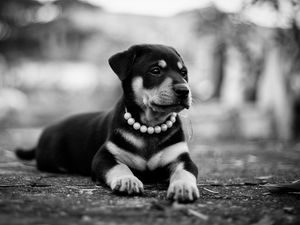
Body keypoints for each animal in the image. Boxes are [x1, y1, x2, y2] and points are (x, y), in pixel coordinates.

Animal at [15, 44, 199, 202]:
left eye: (184, 72)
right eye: (155, 70)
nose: (184, 90)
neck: (150, 126)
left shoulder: (181, 158)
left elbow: (185, 173)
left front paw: (183, 187)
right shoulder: (104, 156)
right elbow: (120, 167)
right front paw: (127, 180)